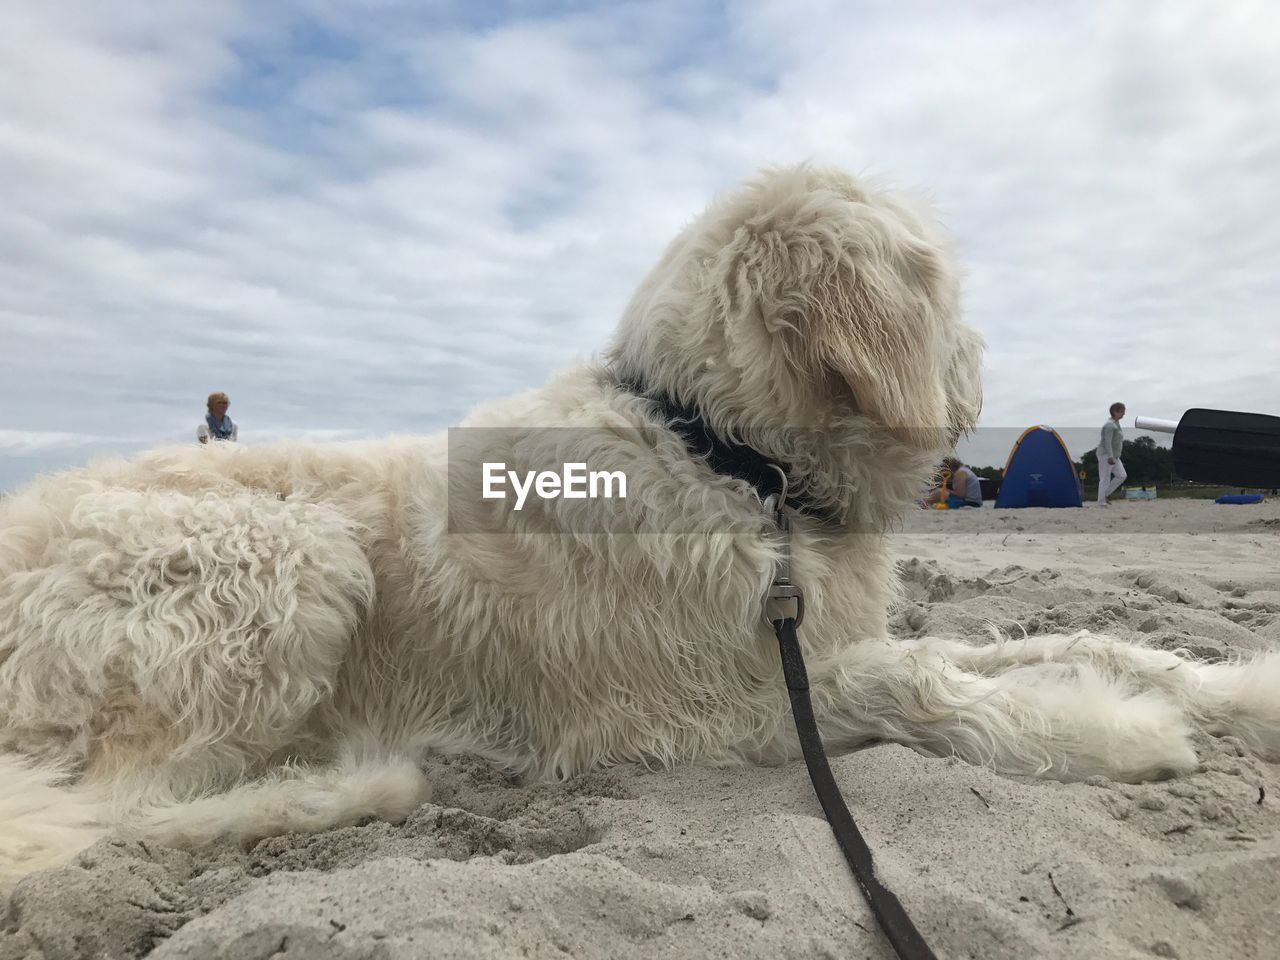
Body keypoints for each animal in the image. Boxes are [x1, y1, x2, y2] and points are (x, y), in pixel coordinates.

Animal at [2, 167, 1280, 896]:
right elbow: (918, 680)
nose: (979, 378)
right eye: (938, 286)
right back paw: (354, 785)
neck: (724, 458)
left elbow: (1072, 642)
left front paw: (1230, 691)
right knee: (99, 818)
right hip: (284, 563)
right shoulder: (707, 712)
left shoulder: (810, 643)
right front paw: (1117, 734)